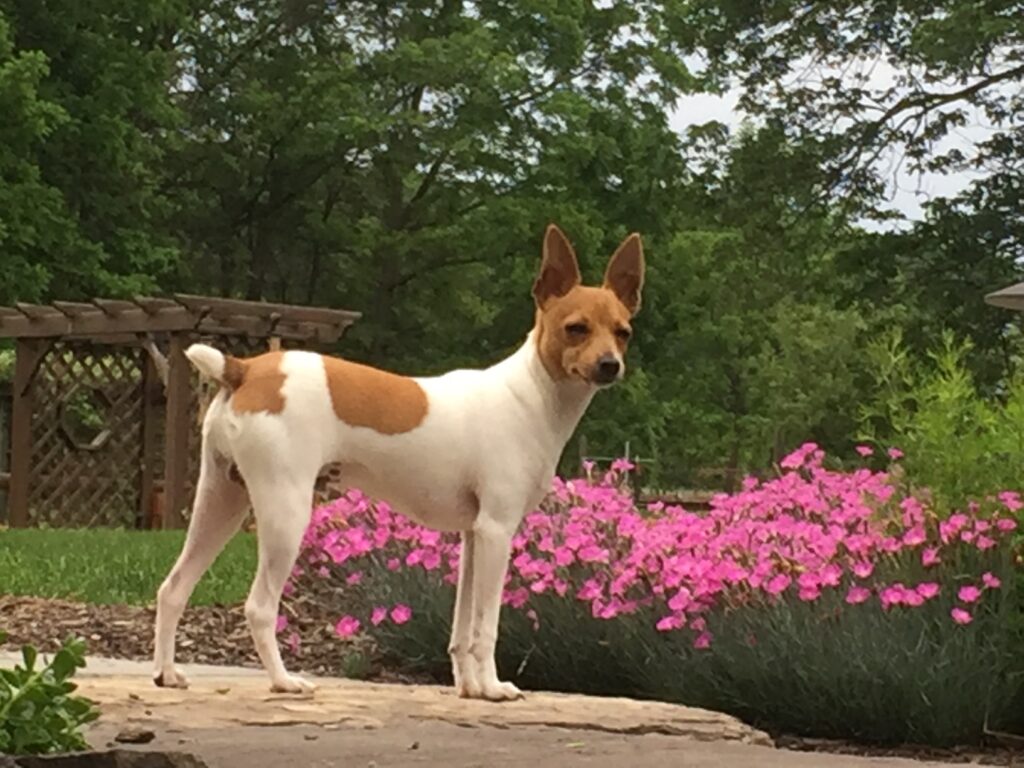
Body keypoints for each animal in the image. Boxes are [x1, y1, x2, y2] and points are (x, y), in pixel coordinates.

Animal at [153, 224, 638, 704]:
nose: (610, 365)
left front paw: (469, 687)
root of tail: (246, 370)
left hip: (219, 503)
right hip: (284, 513)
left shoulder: (474, 538)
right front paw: (492, 687)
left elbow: (462, 629)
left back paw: (167, 673)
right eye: (576, 328)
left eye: (623, 331)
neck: (528, 396)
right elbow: (486, 628)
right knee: (259, 607)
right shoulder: (497, 532)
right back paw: (284, 680)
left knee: (172, 588)